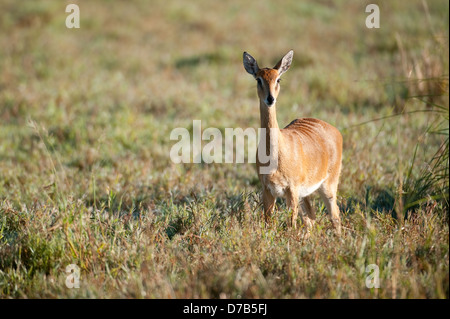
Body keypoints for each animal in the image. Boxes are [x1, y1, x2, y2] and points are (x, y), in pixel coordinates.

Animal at [244, 50, 342, 235]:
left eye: (278, 79)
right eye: (258, 79)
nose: (270, 99)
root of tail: (335, 130)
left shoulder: (292, 190)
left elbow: (291, 224)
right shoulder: (267, 190)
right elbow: (269, 223)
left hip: (328, 186)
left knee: (335, 216)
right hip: (306, 194)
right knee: (311, 218)